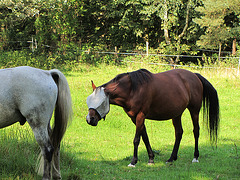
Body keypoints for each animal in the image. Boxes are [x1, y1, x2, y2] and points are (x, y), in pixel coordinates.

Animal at [86, 68, 219, 166]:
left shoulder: (141, 115)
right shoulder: (134, 118)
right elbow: (145, 137)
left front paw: (133, 162)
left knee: (196, 131)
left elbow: (136, 139)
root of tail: (195, 76)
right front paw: (151, 159)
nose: (89, 119)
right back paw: (171, 158)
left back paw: (195, 157)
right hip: (176, 114)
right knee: (179, 133)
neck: (133, 89)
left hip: (194, 110)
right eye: (89, 100)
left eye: (101, 102)